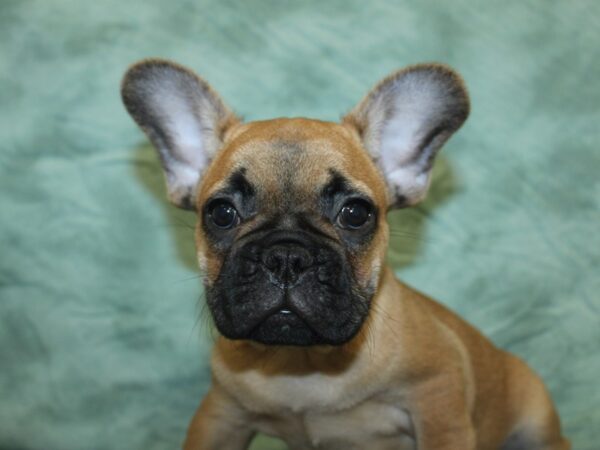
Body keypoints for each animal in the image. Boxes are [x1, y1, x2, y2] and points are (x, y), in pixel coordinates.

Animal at [122, 59, 572, 450]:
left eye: (355, 214)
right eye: (220, 213)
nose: (287, 257)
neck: (301, 363)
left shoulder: (438, 397)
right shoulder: (220, 416)